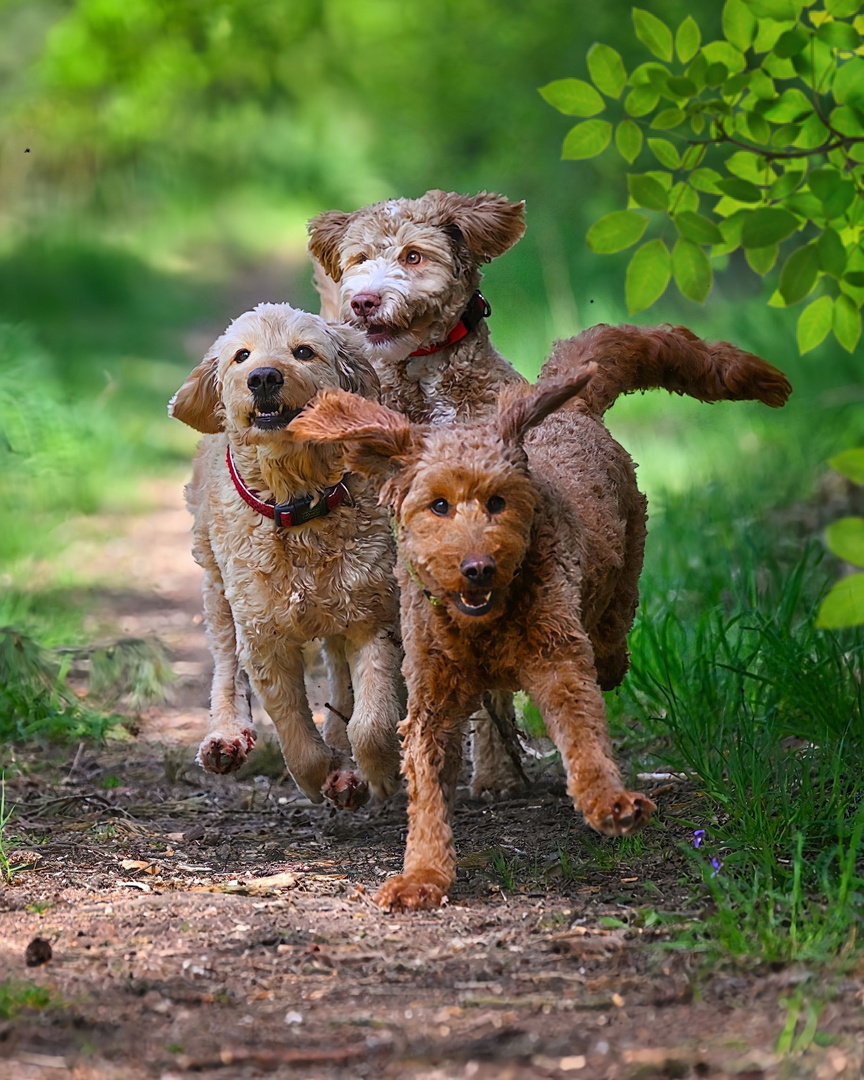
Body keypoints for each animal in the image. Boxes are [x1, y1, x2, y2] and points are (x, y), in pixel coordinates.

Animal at [169, 300, 406, 807]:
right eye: (242, 355)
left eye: (304, 352)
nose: (263, 377)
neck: (297, 505)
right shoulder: (264, 635)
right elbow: (294, 727)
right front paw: (316, 776)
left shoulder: (373, 613)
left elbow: (371, 718)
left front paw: (376, 772)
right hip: (216, 586)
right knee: (225, 663)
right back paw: (226, 737)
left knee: (340, 682)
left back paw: (347, 768)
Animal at [293, 321, 794, 911]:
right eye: (438, 505)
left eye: (499, 502)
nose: (478, 568)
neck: (485, 623)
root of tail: (567, 408)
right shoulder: (432, 702)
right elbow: (428, 792)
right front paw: (422, 875)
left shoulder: (558, 664)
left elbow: (582, 738)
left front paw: (609, 803)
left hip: (626, 563)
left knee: (613, 633)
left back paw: (613, 657)